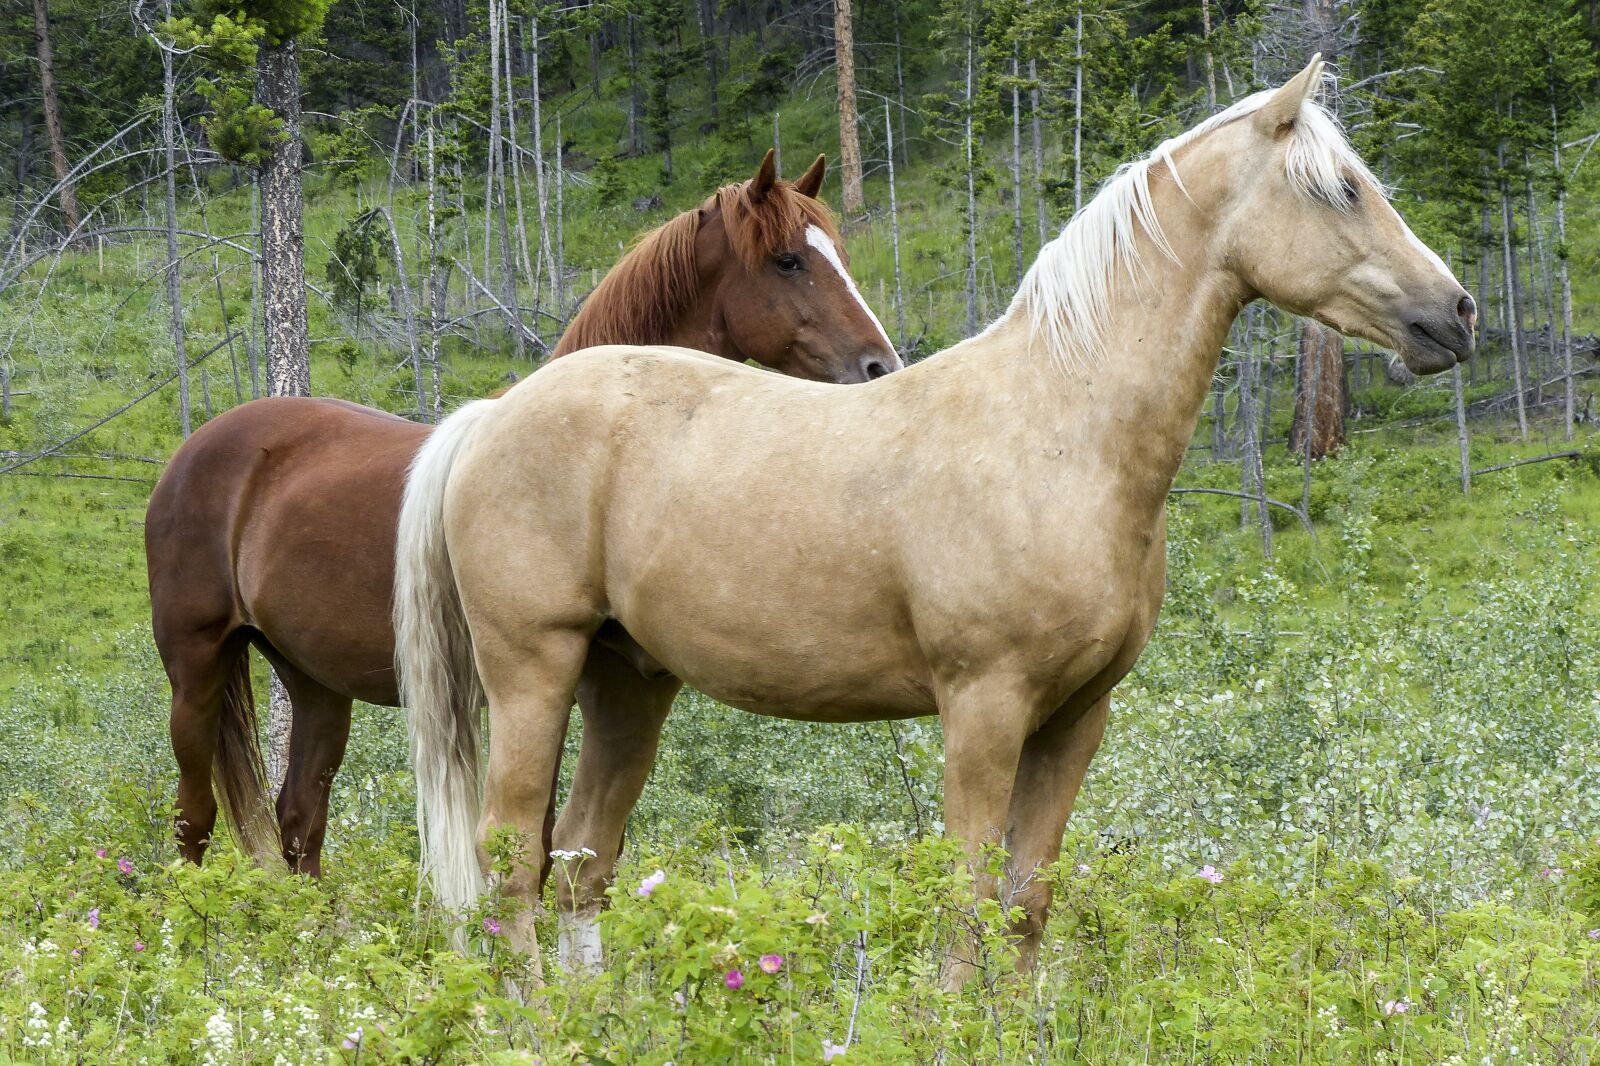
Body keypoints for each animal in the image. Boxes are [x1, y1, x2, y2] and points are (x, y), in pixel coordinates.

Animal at [146, 149, 901, 878]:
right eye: (788, 260)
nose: (881, 367)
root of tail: (198, 451)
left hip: (315, 683)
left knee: (301, 818)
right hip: (195, 668)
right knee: (194, 818)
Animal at [393, 58, 1475, 986]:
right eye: (1339, 190)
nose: (1455, 315)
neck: (1060, 430)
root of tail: (494, 413)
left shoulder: (1076, 719)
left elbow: (1025, 905)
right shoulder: (983, 707)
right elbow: (965, 901)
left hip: (628, 683)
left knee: (581, 860)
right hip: (534, 669)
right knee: (510, 865)